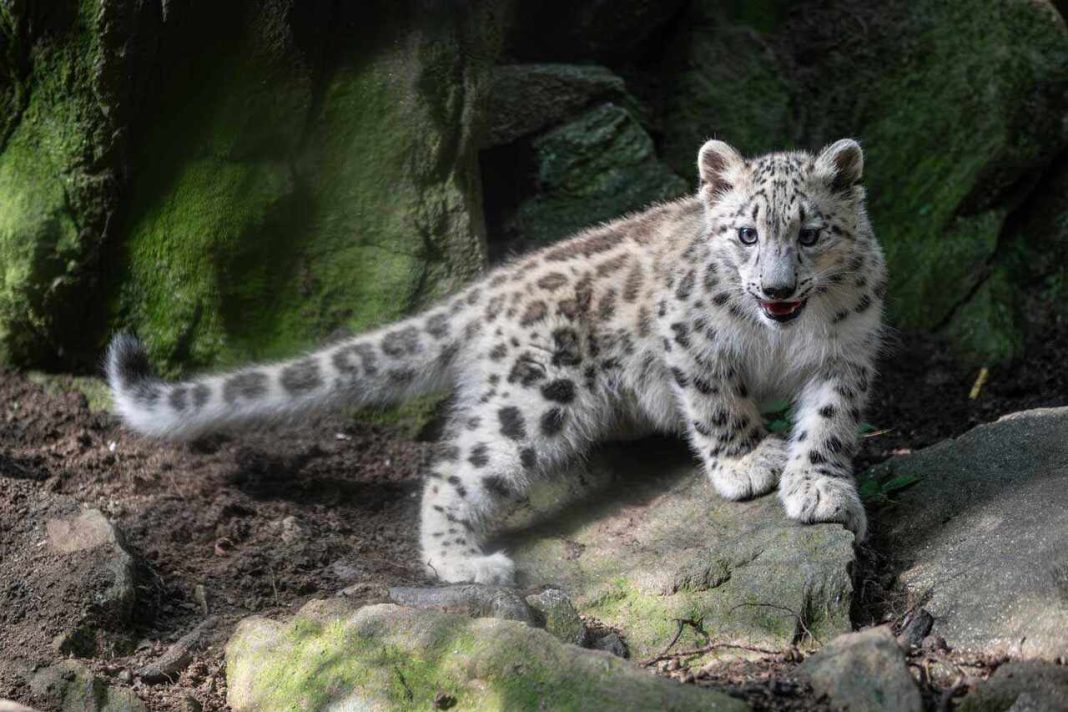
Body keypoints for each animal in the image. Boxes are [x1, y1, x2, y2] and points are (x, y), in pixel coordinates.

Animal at [107, 138, 886, 586]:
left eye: (810, 233)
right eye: (747, 233)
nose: (777, 289)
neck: (782, 337)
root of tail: (489, 287)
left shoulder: (848, 355)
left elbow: (829, 423)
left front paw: (818, 487)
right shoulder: (692, 337)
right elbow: (720, 403)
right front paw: (750, 461)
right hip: (536, 397)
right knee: (454, 468)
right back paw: (464, 563)